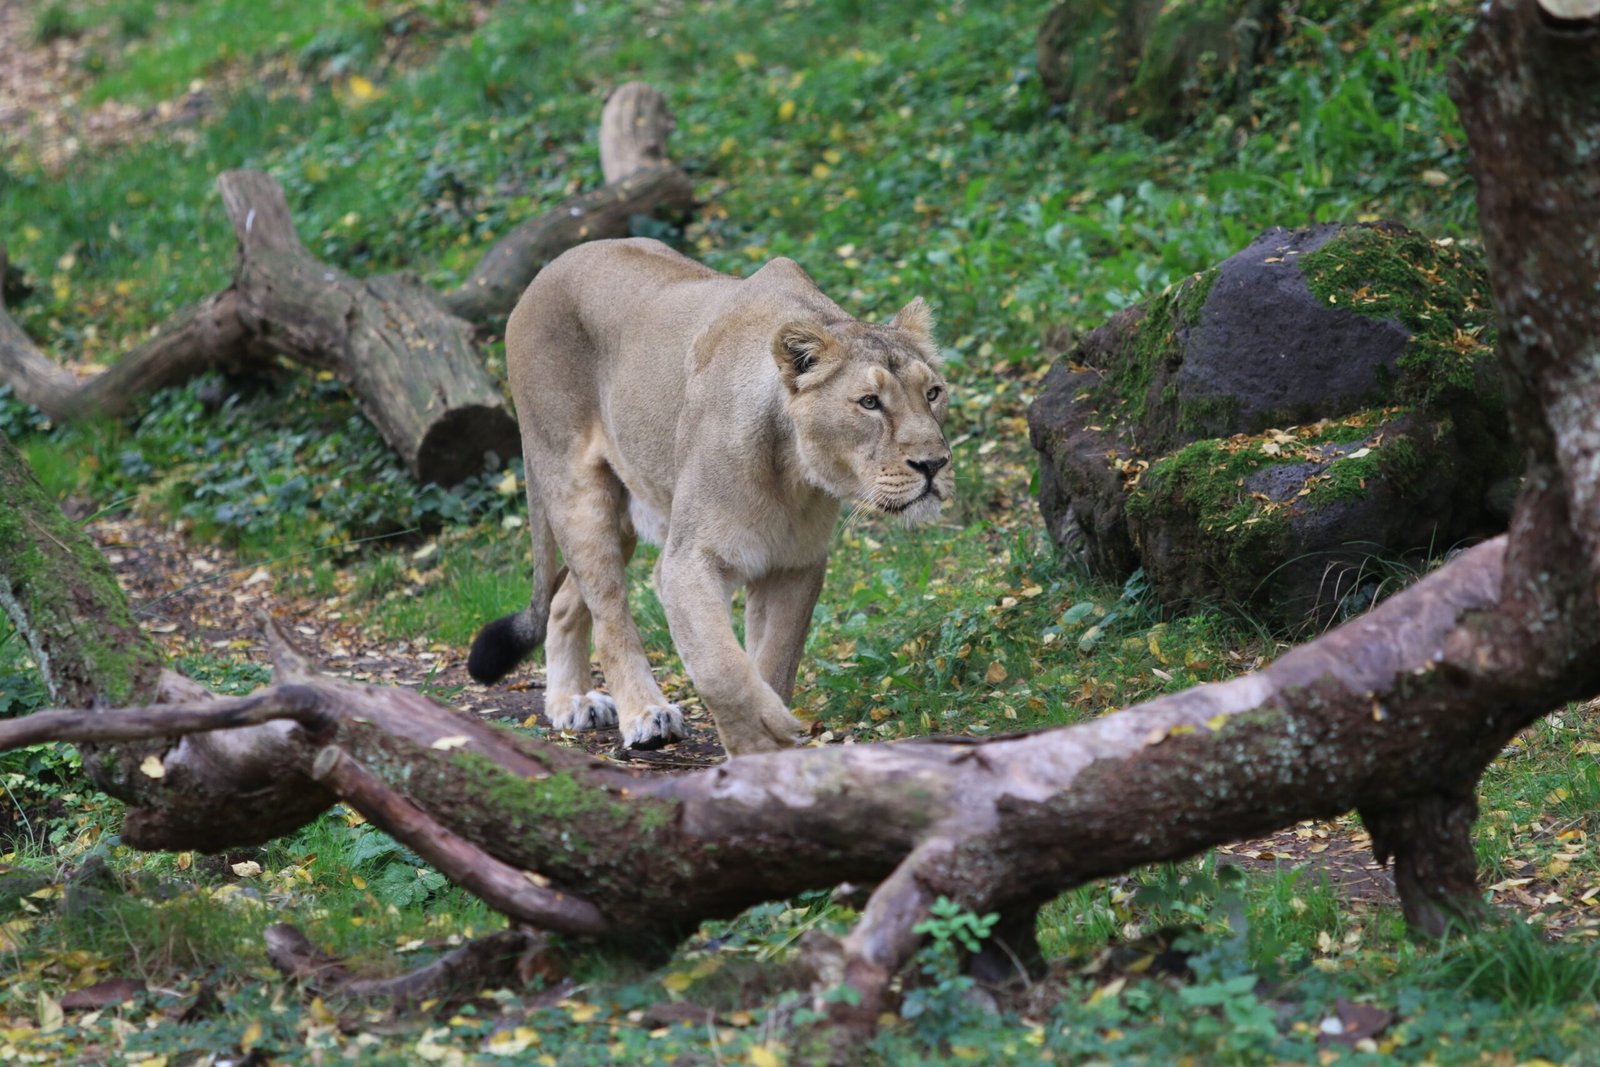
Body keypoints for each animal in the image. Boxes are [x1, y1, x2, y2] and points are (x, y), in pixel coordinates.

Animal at [467, 237, 953, 756]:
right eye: (869, 403)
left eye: (933, 393)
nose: (933, 464)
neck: (792, 476)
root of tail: (544, 273)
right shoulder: (687, 560)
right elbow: (720, 665)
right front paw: (759, 741)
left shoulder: (795, 564)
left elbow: (774, 659)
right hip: (575, 489)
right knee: (610, 613)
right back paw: (642, 713)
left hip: (625, 511)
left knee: (563, 600)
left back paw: (571, 701)